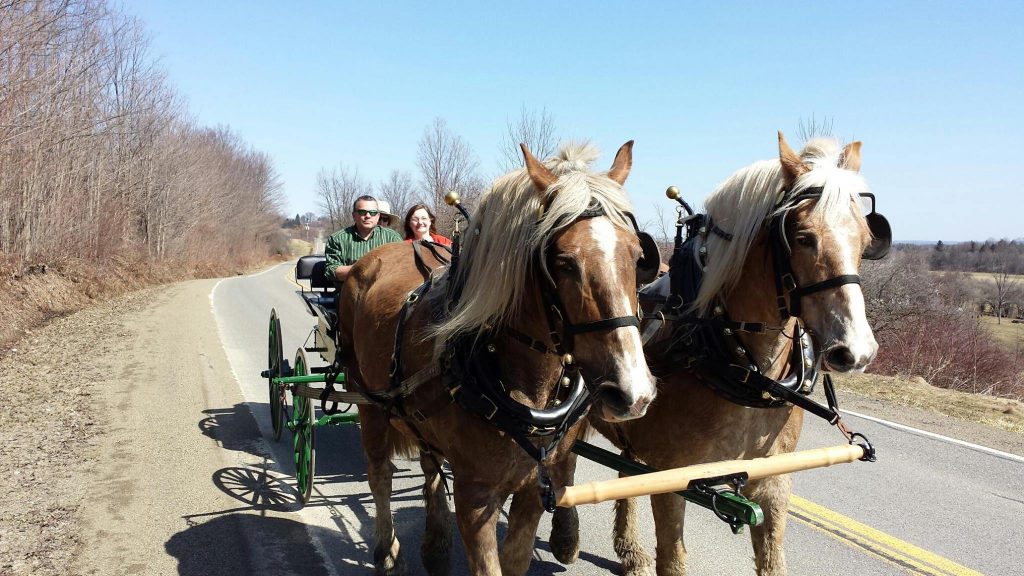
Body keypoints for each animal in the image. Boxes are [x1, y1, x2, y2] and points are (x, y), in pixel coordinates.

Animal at [335, 140, 655, 573]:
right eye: (563, 262)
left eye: (638, 257)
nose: (632, 392)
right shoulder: (476, 496)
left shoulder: (536, 488)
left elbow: (516, 557)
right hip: (367, 400)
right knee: (379, 476)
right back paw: (388, 550)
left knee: (429, 465)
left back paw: (435, 545)